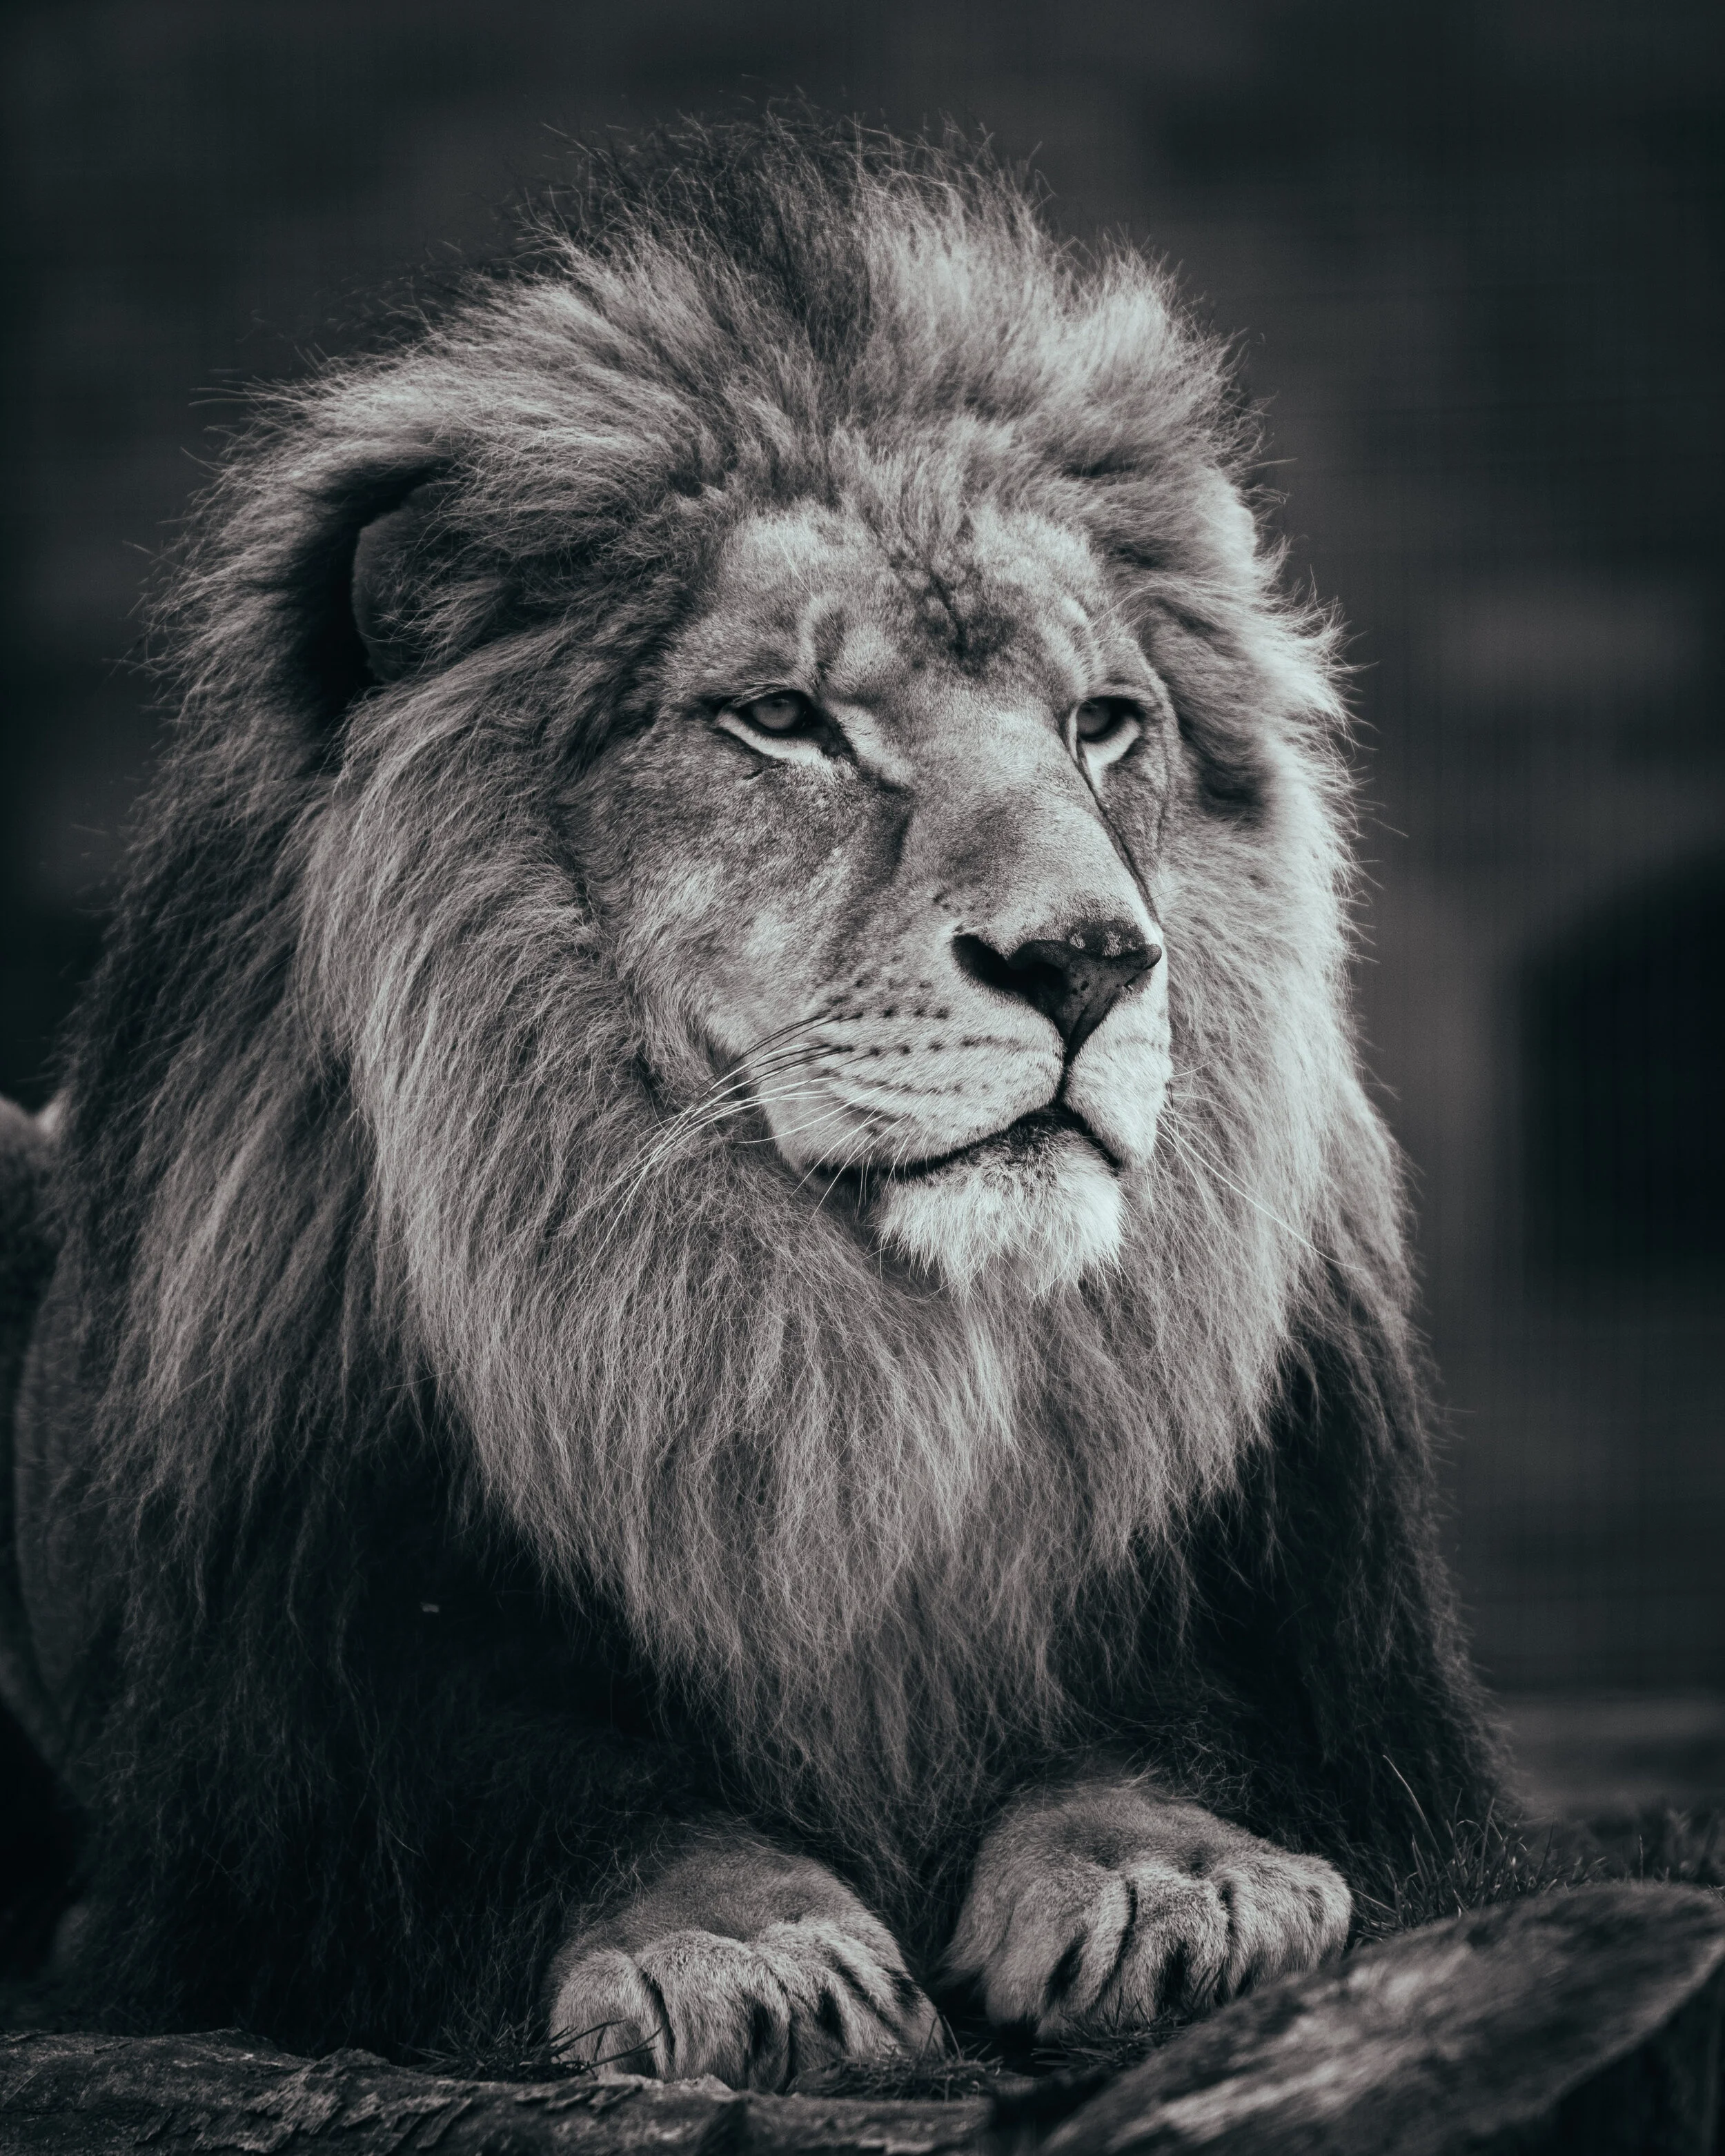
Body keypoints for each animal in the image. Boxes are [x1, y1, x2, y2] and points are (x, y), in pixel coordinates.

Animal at [0, 119, 1497, 2081]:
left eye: (1103, 721)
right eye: (781, 718)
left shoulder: (1290, 1660)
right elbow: (585, 1807)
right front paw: (740, 1945)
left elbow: (1131, 1737)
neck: (834, 1352)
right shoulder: (312, 1754)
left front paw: (1183, 1882)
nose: (1090, 959)